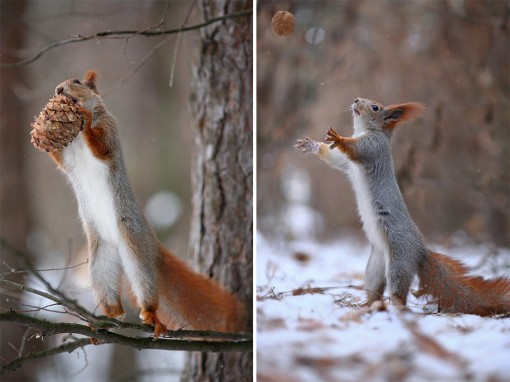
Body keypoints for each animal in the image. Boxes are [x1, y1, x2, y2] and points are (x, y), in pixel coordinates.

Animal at [45, 71, 247, 338]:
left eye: (77, 81)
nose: (58, 90)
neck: (76, 138)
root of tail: (152, 242)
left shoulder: (110, 129)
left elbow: (102, 147)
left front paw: (85, 118)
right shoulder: (69, 161)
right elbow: (61, 161)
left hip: (134, 248)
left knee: (146, 284)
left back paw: (150, 314)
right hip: (100, 262)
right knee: (110, 293)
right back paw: (108, 315)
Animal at [294, 97, 510, 314]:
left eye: (375, 107)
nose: (356, 100)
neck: (366, 131)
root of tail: (420, 250)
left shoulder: (374, 148)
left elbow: (356, 150)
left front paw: (338, 138)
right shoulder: (347, 164)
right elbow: (335, 160)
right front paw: (311, 145)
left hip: (399, 261)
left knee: (399, 294)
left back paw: (394, 308)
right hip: (376, 266)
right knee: (375, 290)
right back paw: (366, 306)